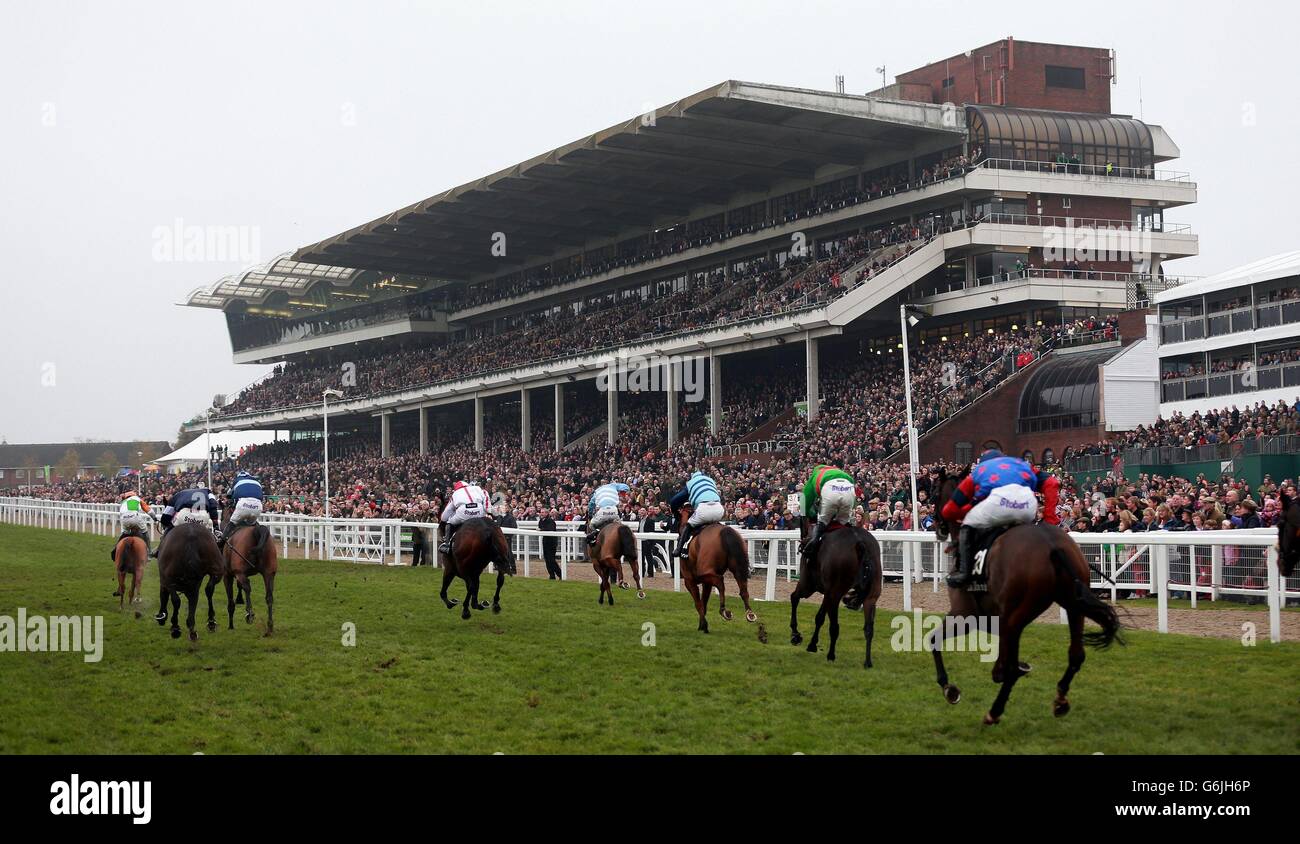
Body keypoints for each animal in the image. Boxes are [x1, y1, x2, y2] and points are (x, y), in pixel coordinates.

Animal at [785, 520, 889, 665]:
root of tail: (860, 542)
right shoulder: (828, 593)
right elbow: (819, 617)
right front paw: (812, 644)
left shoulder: (809, 585)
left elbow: (794, 598)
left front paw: (796, 635)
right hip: (871, 596)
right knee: (869, 628)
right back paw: (867, 662)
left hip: (833, 592)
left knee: (834, 627)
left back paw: (831, 655)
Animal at [930, 468, 1123, 723]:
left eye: (934, 493)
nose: (937, 526)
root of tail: (1052, 546)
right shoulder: (994, 619)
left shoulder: (965, 613)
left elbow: (933, 640)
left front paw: (949, 689)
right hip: (1071, 604)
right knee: (1075, 655)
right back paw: (1060, 700)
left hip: (1020, 611)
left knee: (1009, 669)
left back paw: (994, 711)